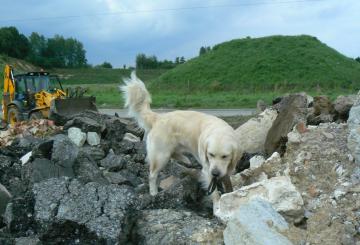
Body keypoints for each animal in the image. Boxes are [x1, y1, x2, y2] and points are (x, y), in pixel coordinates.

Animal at [121, 72, 242, 201]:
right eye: (211, 154)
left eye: (225, 156)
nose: (215, 173)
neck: (219, 130)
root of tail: (159, 117)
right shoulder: (207, 168)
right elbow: (215, 194)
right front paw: (218, 204)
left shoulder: (226, 169)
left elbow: (228, 183)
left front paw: (229, 194)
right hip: (161, 156)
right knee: (152, 175)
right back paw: (153, 192)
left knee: (174, 154)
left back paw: (185, 159)